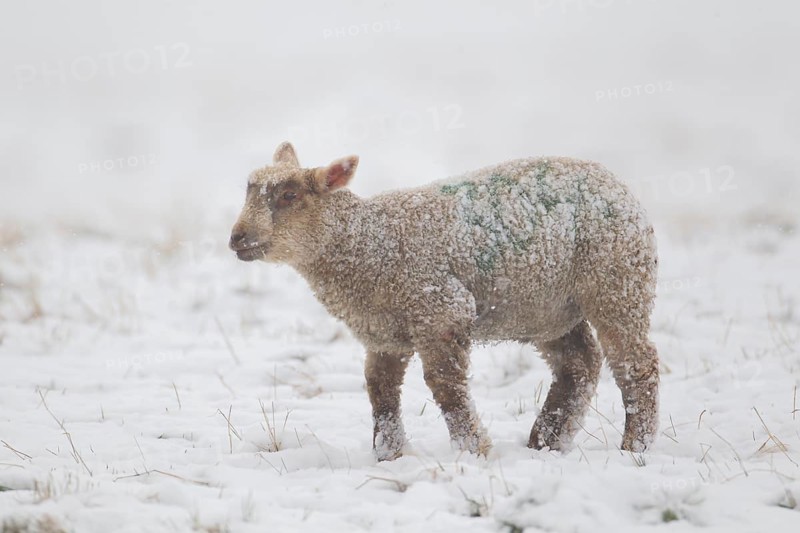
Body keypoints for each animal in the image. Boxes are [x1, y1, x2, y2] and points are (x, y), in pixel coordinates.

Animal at [229, 142, 660, 460]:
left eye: (289, 195)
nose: (237, 238)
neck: (366, 243)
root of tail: (618, 185)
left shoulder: (440, 310)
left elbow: (445, 385)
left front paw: (472, 450)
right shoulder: (383, 333)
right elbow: (380, 390)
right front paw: (390, 454)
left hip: (617, 280)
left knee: (637, 365)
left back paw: (635, 447)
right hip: (550, 307)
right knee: (579, 365)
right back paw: (546, 442)